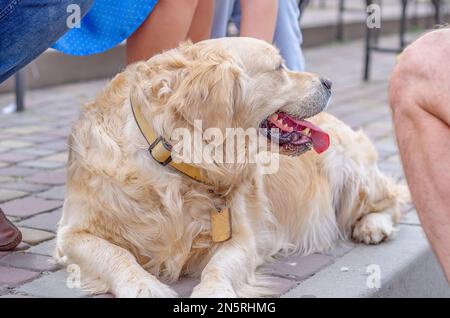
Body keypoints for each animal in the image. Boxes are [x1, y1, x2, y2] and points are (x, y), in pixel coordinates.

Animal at [55, 38, 408, 298]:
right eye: (279, 67)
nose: (329, 82)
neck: (174, 163)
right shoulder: (70, 234)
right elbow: (116, 255)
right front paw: (144, 286)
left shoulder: (242, 237)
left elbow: (219, 267)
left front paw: (212, 291)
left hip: (347, 167)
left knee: (391, 200)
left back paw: (372, 226)